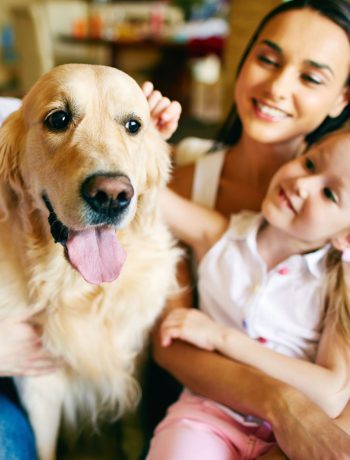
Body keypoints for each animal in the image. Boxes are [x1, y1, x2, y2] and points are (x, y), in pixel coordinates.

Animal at [0, 63, 179, 458]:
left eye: (133, 125)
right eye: (58, 119)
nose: (111, 195)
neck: (80, 289)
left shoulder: (131, 358)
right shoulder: (40, 387)